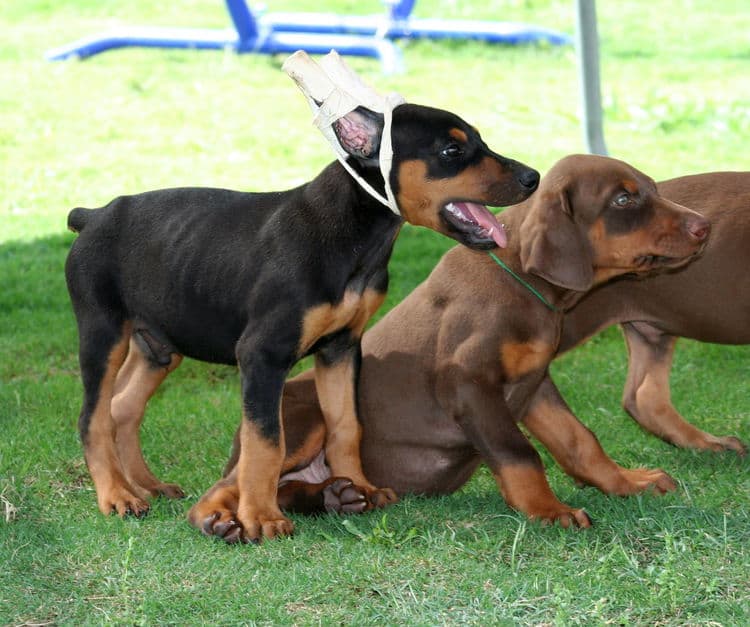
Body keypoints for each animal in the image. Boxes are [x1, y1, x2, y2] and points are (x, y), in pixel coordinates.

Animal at [61, 100, 536, 544]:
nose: (532, 177)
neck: (354, 232)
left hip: (158, 347)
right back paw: (117, 496)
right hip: (103, 333)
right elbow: (266, 442)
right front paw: (261, 517)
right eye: (451, 150)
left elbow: (346, 426)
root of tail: (93, 215)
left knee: (123, 408)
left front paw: (359, 486)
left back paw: (146, 485)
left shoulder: (341, 348)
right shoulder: (262, 356)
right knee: (93, 418)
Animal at [217, 153, 712, 536]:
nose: (704, 226)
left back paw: (337, 498)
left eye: (651, 187)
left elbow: (578, 440)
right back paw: (228, 522)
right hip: (302, 415)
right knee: (240, 479)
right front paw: (548, 510)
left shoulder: (534, 382)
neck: (524, 285)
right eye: (624, 199)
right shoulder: (468, 383)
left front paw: (627, 482)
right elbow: (520, 453)